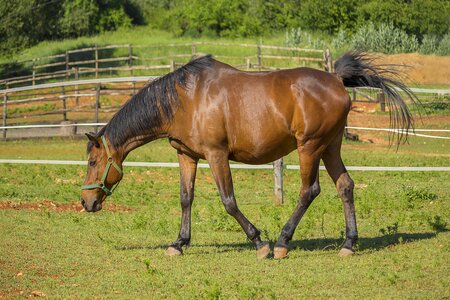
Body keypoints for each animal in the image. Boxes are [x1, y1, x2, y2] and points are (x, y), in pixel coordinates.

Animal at [80, 51, 414, 258]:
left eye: (93, 161)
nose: (86, 202)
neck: (186, 99)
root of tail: (335, 79)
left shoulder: (216, 155)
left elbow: (228, 201)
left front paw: (259, 242)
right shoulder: (187, 155)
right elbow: (186, 198)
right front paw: (179, 243)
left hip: (310, 147)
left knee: (309, 190)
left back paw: (282, 242)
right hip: (330, 147)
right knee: (345, 186)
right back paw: (348, 243)